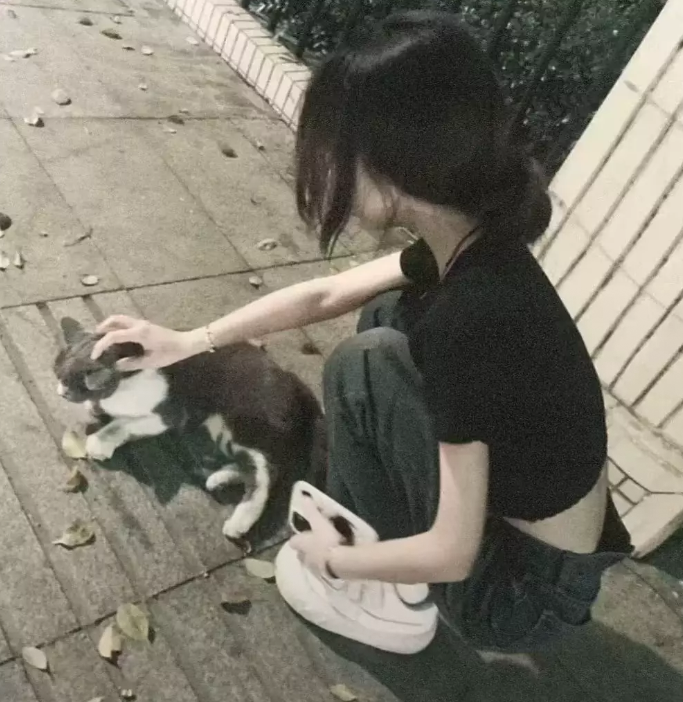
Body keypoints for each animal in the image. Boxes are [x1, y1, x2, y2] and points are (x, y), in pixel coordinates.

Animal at [54, 317, 326, 541]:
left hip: (243, 421)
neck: (124, 386)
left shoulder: (170, 413)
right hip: (220, 427)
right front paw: (94, 408)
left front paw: (101, 440)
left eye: (88, 376)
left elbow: (122, 424)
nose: (62, 391)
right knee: (253, 464)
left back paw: (240, 521)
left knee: (266, 471)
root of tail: (294, 381)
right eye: (58, 369)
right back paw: (220, 478)